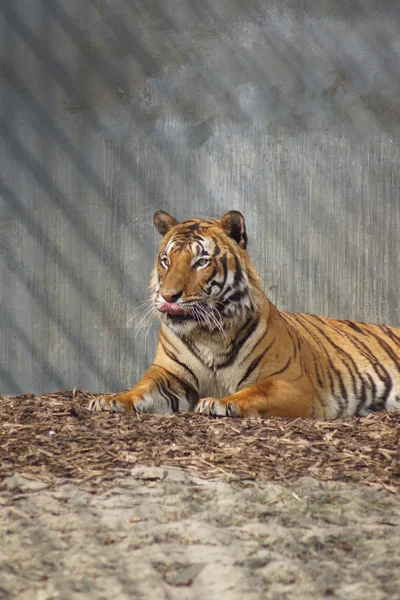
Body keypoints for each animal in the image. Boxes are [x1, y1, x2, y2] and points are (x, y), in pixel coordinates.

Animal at [88, 209, 400, 420]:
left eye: (201, 261)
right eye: (166, 260)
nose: (168, 296)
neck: (206, 333)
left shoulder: (293, 384)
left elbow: (256, 391)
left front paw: (221, 403)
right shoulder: (170, 374)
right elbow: (141, 388)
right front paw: (110, 400)